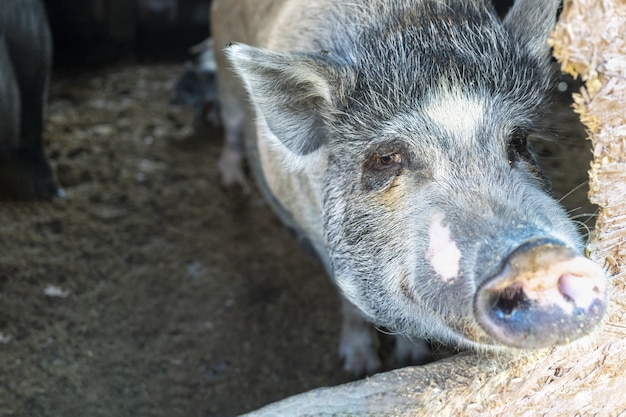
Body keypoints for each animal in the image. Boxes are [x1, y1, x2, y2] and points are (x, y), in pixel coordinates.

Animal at [208, 0, 604, 376]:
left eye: (519, 141)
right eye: (386, 158)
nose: (538, 259)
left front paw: (411, 358)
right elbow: (349, 303)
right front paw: (360, 367)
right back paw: (232, 182)